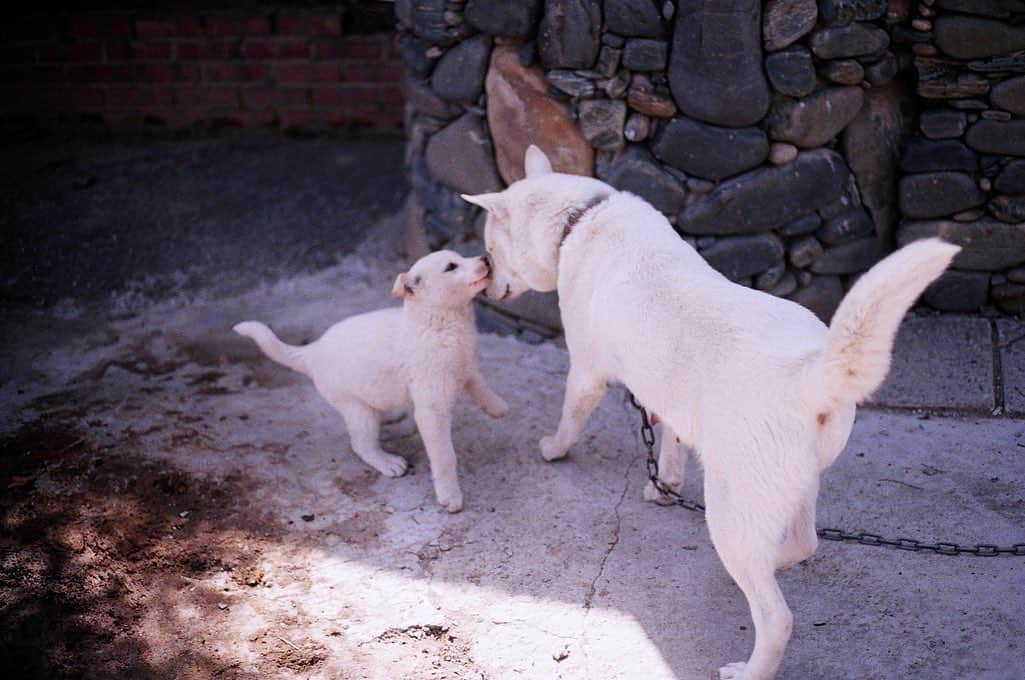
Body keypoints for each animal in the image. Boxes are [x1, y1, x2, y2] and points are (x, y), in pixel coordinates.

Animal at [230, 250, 506, 510]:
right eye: (451, 267)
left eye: (460, 257)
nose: (485, 258)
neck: (440, 321)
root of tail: (312, 351)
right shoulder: (432, 410)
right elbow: (445, 456)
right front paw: (450, 496)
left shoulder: (465, 367)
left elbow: (479, 384)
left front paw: (498, 407)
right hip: (357, 410)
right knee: (361, 445)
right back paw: (387, 462)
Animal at [465, 148, 959, 680]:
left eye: (491, 250)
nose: (486, 282)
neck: (581, 217)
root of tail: (809, 372)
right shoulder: (667, 401)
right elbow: (670, 442)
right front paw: (664, 487)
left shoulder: (586, 373)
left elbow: (569, 420)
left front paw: (553, 449)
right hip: (793, 485)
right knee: (803, 544)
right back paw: (773, 565)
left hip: (729, 507)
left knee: (777, 618)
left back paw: (750, 666)